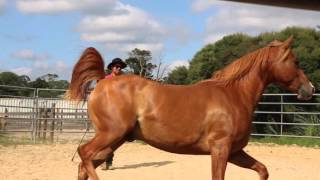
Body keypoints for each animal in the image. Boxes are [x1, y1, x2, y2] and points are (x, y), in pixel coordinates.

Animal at [68, 35, 316, 179]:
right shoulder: (220, 149)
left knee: (83, 166)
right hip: (110, 134)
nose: (310, 89)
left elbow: (263, 170)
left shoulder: (235, 151)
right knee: (84, 154)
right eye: (296, 62)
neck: (234, 94)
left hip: (115, 140)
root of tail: (102, 81)